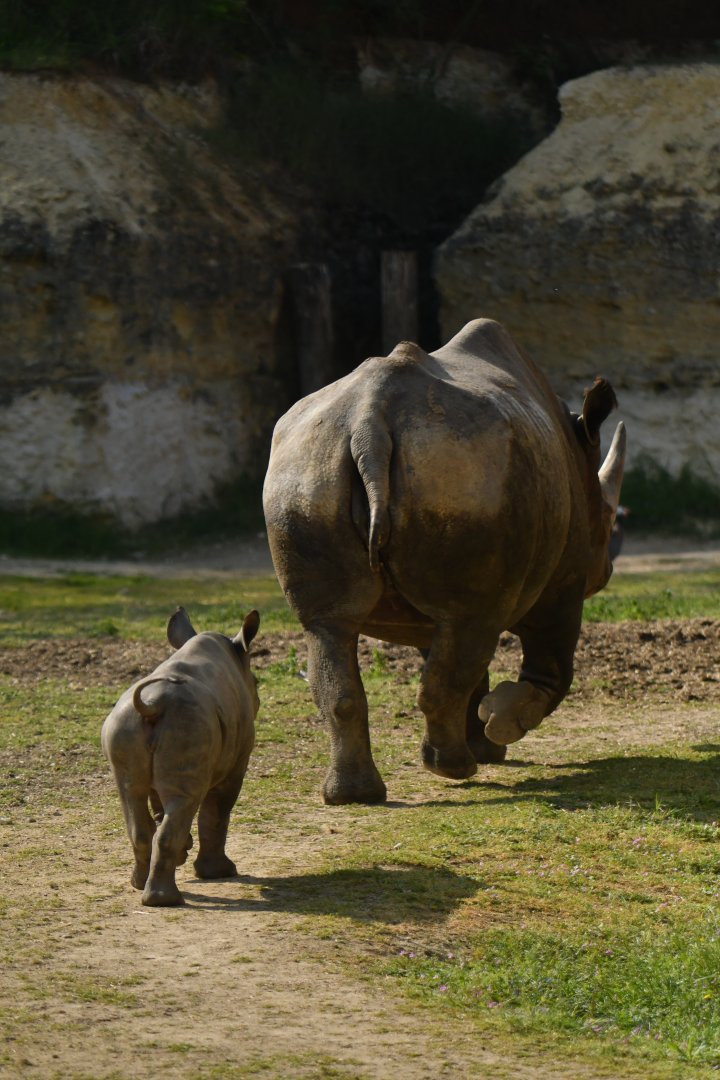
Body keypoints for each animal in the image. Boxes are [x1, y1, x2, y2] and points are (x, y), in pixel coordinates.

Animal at [101, 606, 260, 906]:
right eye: (256, 683)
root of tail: (153, 705)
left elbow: (159, 805)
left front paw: (184, 854)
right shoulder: (236, 762)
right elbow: (217, 813)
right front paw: (219, 873)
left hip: (126, 725)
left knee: (132, 796)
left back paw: (139, 886)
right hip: (188, 725)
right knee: (187, 801)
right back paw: (165, 900)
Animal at [262, 318, 626, 806]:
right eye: (607, 518)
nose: (605, 573)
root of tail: (368, 424)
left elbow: (460, 666)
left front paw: (489, 744)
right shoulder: (563, 580)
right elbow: (549, 668)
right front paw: (501, 726)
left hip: (310, 468)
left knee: (329, 628)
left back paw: (356, 795)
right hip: (470, 472)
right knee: (466, 630)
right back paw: (453, 769)